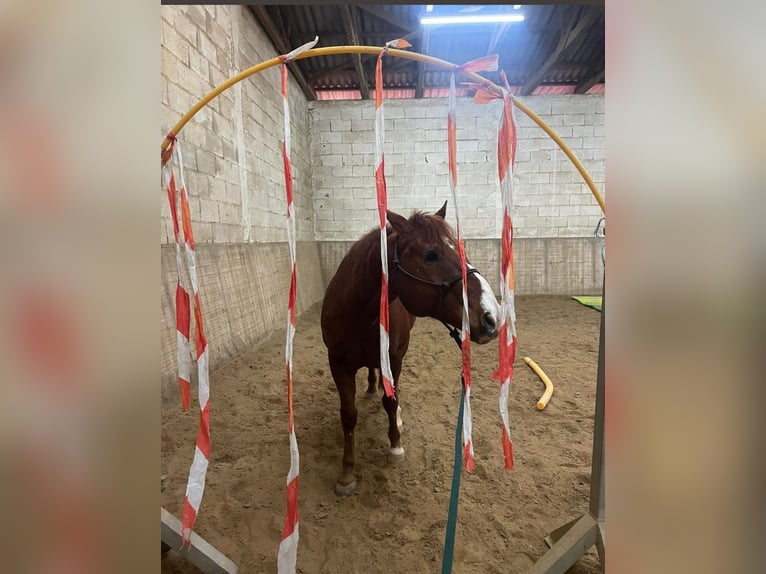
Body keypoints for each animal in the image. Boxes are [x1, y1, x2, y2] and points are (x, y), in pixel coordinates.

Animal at [320, 201, 501, 495]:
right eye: (431, 255)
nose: (492, 316)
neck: (357, 314)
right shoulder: (338, 363)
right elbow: (348, 415)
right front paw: (346, 474)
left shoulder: (393, 357)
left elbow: (391, 401)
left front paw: (395, 445)